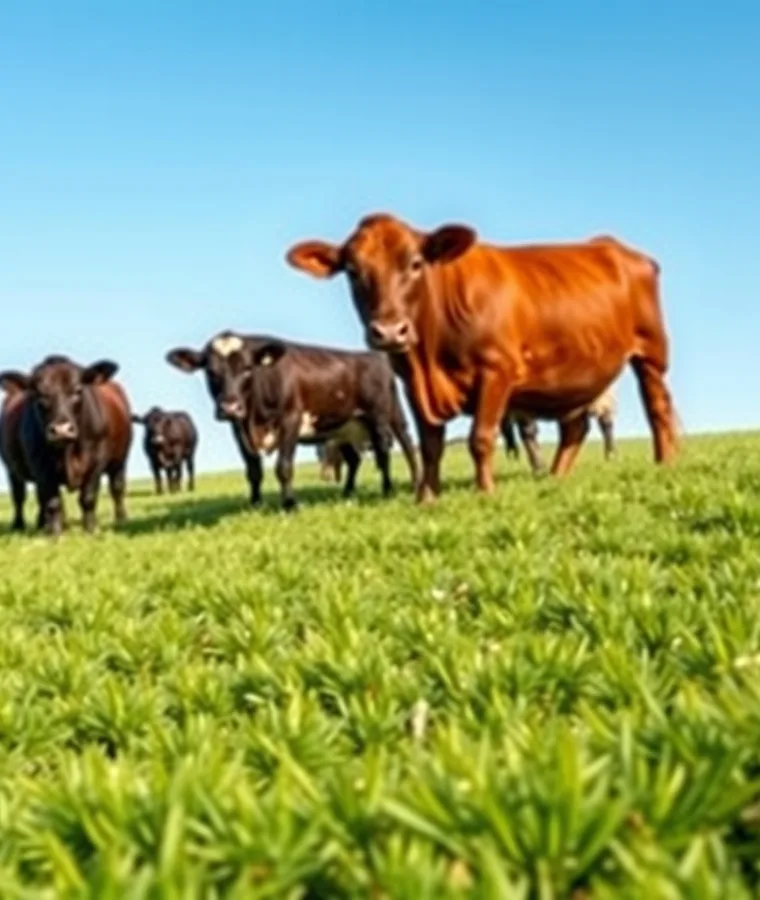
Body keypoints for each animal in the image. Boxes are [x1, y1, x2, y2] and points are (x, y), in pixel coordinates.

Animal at [0, 354, 132, 535]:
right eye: (38, 394)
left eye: (77, 390)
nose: (61, 430)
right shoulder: (39, 464)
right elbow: (52, 501)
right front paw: (55, 533)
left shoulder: (96, 460)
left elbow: (88, 497)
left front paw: (90, 529)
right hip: (12, 470)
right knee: (19, 496)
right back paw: (21, 525)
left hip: (120, 462)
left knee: (117, 489)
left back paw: (121, 519)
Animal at [165, 331, 419, 510]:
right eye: (210, 371)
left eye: (247, 368)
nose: (229, 406)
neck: (256, 420)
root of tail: (373, 356)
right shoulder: (238, 429)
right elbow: (253, 471)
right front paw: (255, 504)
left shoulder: (291, 420)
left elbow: (284, 466)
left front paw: (290, 504)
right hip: (343, 428)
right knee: (355, 459)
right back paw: (347, 492)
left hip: (383, 416)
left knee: (395, 449)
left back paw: (396, 488)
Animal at [286, 214, 678, 502]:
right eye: (352, 271)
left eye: (416, 263)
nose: (390, 331)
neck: (429, 358)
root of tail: (612, 245)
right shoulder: (413, 385)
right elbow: (430, 445)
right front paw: (427, 498)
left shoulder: (496, 371)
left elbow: (480, 438)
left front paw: (485, 491)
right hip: (577, 373)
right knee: (575, 428)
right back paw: (556, 477)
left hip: (651, 353)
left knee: (657, 406)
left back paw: (665, 462)